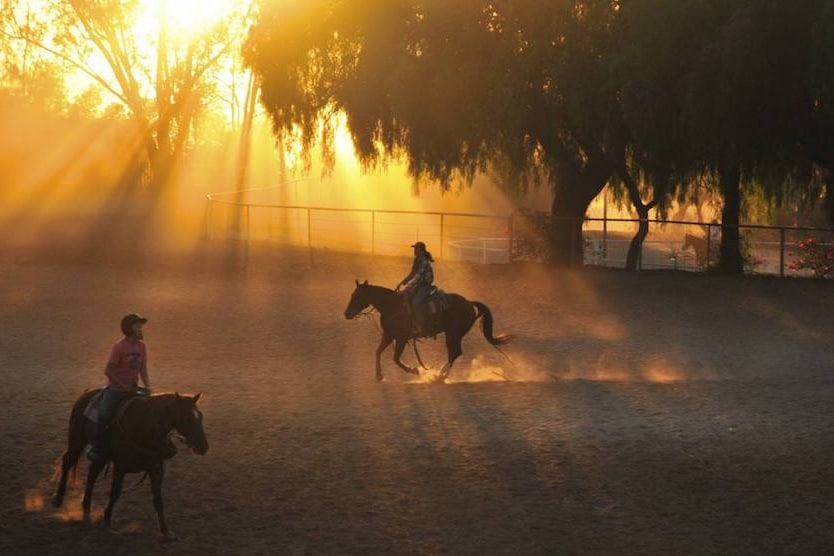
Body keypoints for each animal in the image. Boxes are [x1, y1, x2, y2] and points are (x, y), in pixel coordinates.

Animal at [52, 390, 208, 540]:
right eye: (187, 418)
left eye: (200, 416)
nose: (203, 447)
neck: (144, 427)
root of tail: (85, 395)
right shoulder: (120, 466)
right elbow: (115, 493)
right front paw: (106, 522)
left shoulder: (156, 469)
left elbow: (158, 500)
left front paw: (166, 532)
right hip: (76, 442)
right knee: (67, 463)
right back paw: (58, 499)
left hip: (101, 456)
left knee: (92, 474)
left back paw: (85, 505)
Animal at [342, 282, 510, 382]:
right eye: (352, 295)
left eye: (357, 296)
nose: (347, 314)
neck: (392, 305)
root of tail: (469, 303)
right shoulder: (389, 335)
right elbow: (378, 352)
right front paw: (378, 375)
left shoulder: (402, 337)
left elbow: (396, 358)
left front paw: (415, 371)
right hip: (453, 334)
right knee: (455, 353)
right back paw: (441, 374)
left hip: (453, 334)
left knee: (455, 352)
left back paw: (440, 375)